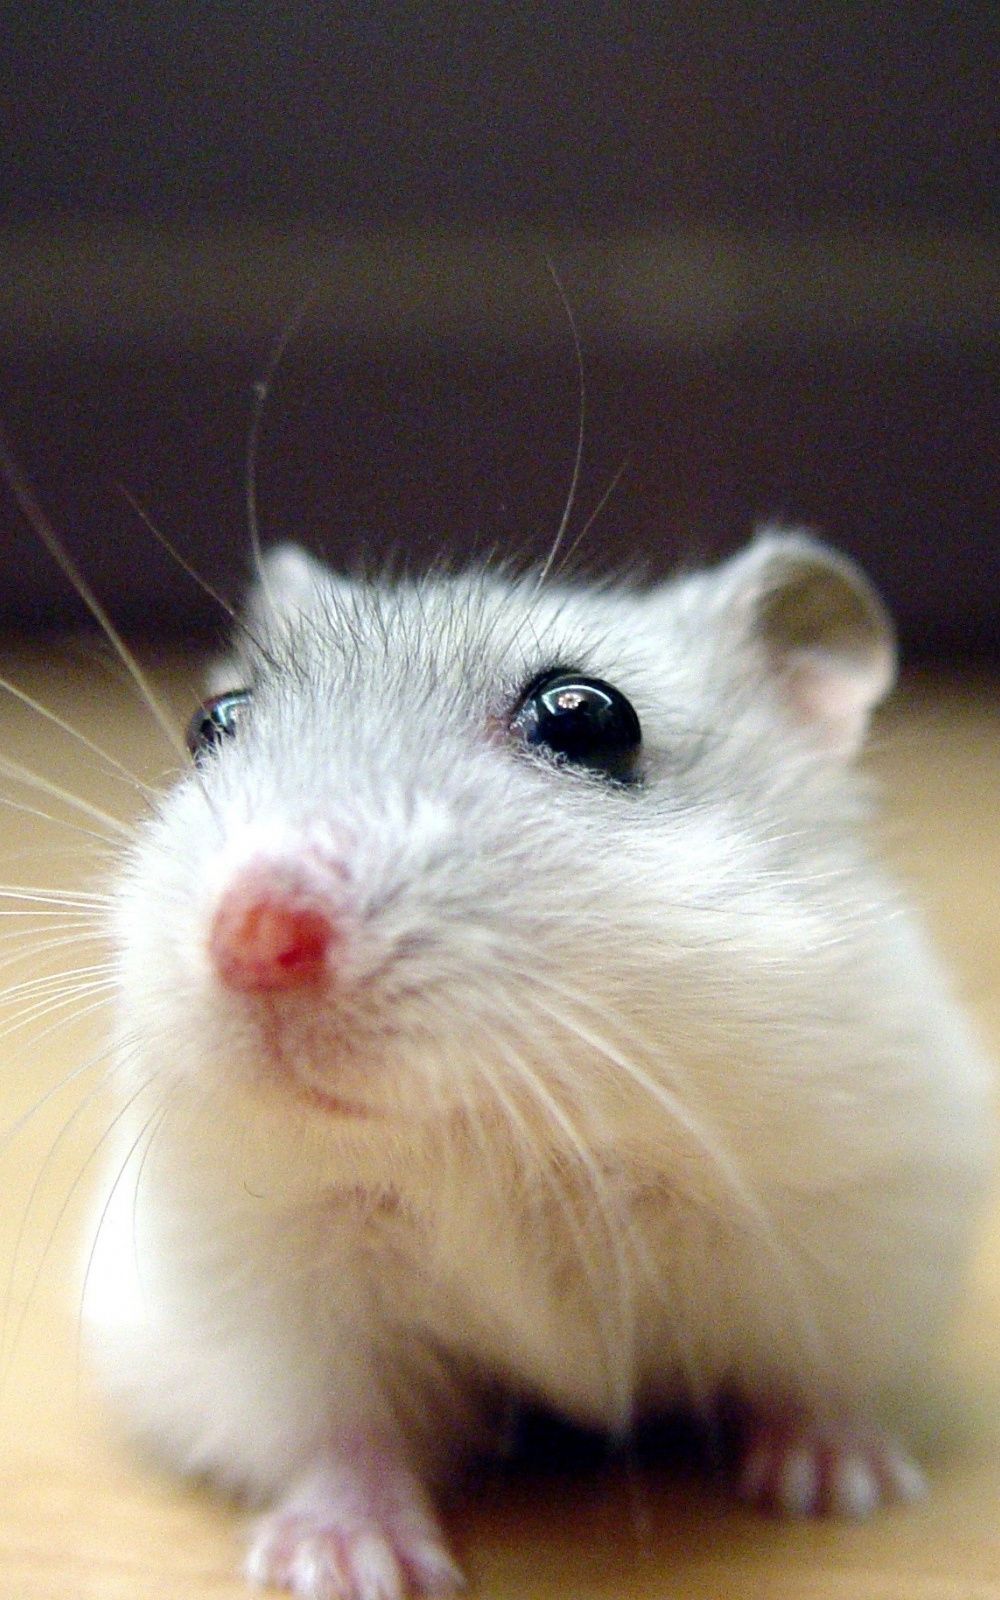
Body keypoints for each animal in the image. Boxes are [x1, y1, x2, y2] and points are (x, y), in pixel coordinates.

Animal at [84, 531, 993, 1600]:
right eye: (213, 723)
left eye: (589, 719)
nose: (257, 936)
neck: (500, 1129)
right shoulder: (269, 1287)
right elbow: (337, 1430)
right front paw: (349, 1567)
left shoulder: (847, 1229)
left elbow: (811, 1378)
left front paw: (845, 1491)